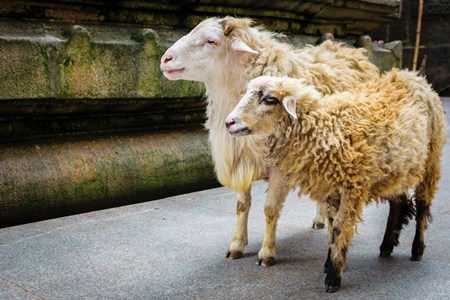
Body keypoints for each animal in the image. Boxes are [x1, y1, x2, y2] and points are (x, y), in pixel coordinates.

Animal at [161, 15, 380, 266]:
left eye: (211, 41)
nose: (165, 59)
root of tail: (349, 50)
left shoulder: (282, 168)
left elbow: (270, 209)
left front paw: (266, 253)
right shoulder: (242, 159)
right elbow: (242, 205)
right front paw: (236, 245)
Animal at [225, 69, 446, 292]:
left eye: (270, 99)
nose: (229, 123)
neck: (327, 130)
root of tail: (413, 76)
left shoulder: (352, 187)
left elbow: (340, 225)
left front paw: (333, 276)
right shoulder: (331, 188)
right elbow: (332, 225)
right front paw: (329, 261)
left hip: (431, 159)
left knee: (423, 205)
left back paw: (417, 249)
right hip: (397, 169)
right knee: (399, 203)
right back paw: (386, 246)